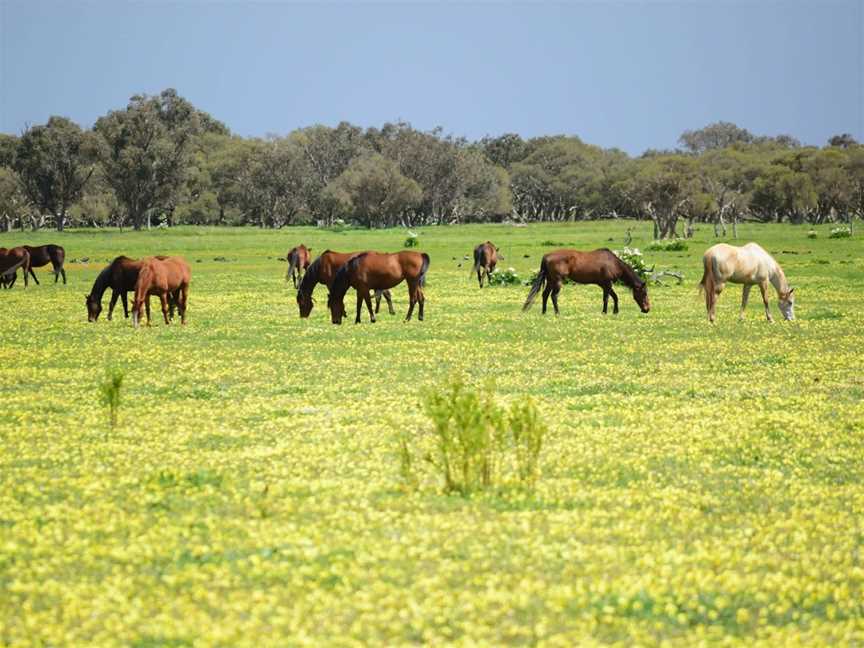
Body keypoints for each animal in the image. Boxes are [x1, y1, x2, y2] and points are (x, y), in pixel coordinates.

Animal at [520, 249, 648, 316]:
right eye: (644, 294)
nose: (647, 309)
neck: (614, 263)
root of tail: (546, 256)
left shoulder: (604, 284)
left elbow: (615, 297)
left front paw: (615, 311)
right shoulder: (607, 283)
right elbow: (607, 298)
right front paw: (605, 312)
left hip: (550, 280)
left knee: (545, 295)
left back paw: (544, 312)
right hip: (557, 281)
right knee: (553, 296)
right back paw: (557, 313)